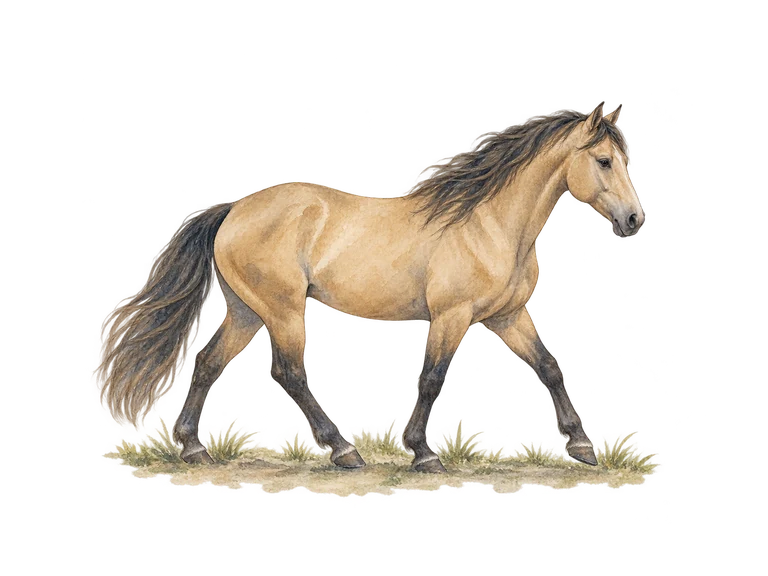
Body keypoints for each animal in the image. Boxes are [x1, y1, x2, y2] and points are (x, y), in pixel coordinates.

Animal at [91, 102, 645, 473]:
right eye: (603, 160)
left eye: (624, 158)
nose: (634, 220)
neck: (487, 222)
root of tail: (232, 210)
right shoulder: (453, 316)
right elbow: (434, 375)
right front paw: (422, 453)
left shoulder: (509, 316)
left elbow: (548, 367)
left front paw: (582, 448)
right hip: (283, 308)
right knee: (289, 372)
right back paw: (344, 451)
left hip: (247, 311)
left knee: (208, 363)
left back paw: (194, 448)